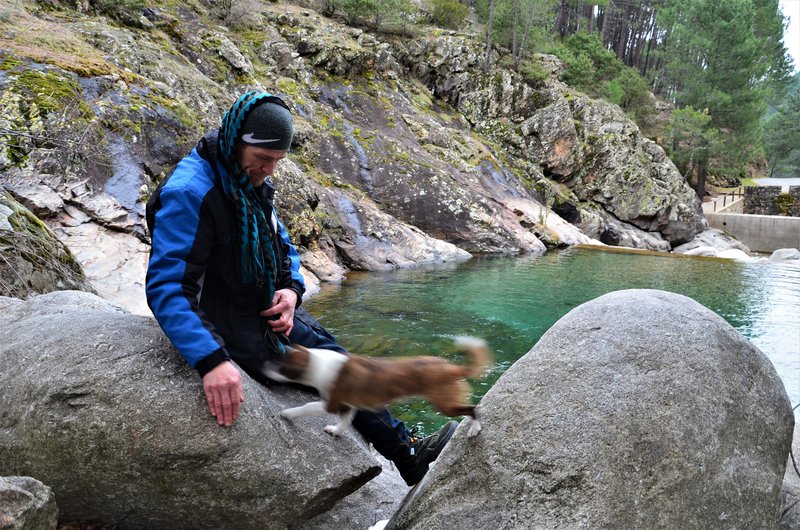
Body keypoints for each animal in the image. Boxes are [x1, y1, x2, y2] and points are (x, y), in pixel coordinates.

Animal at [266, 336, 490, 436]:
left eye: (283, 366)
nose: (263, 367)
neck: (318, 362)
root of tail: (454, 368)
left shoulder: (331, 404)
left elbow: (307, 407)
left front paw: (288, 413)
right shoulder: (348, 406)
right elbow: (345, 423)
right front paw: (336, 431)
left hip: (445, 404)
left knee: (472, 408)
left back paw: (475, 428)